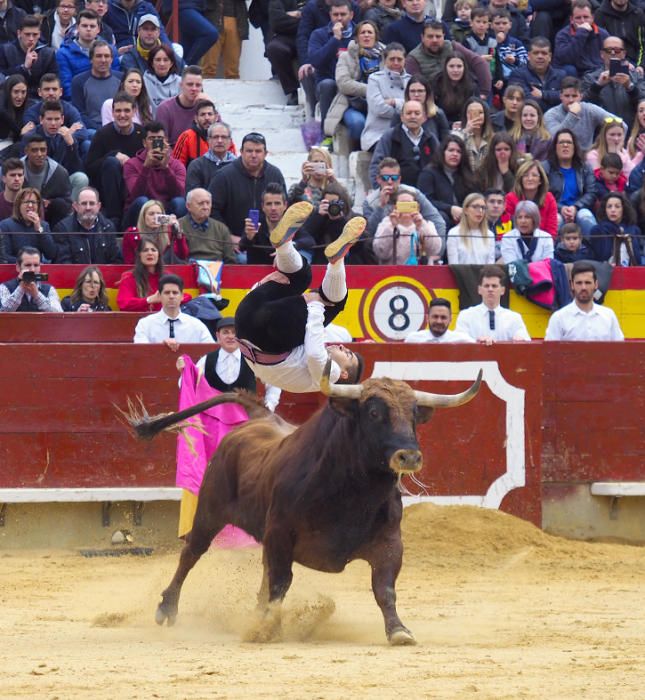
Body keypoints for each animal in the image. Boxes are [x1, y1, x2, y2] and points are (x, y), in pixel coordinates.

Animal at [128, 366, 480, 644]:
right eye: (374, 413)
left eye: (414, 415)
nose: (409, 456)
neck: (355, 492)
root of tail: (259, 418)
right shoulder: (281, 534)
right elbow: (281, 582)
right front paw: (265, 630)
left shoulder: (390, 542)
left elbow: (385, 588)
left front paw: (399, 631)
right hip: (209, 511)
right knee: (191, 554)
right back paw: (167, 608)